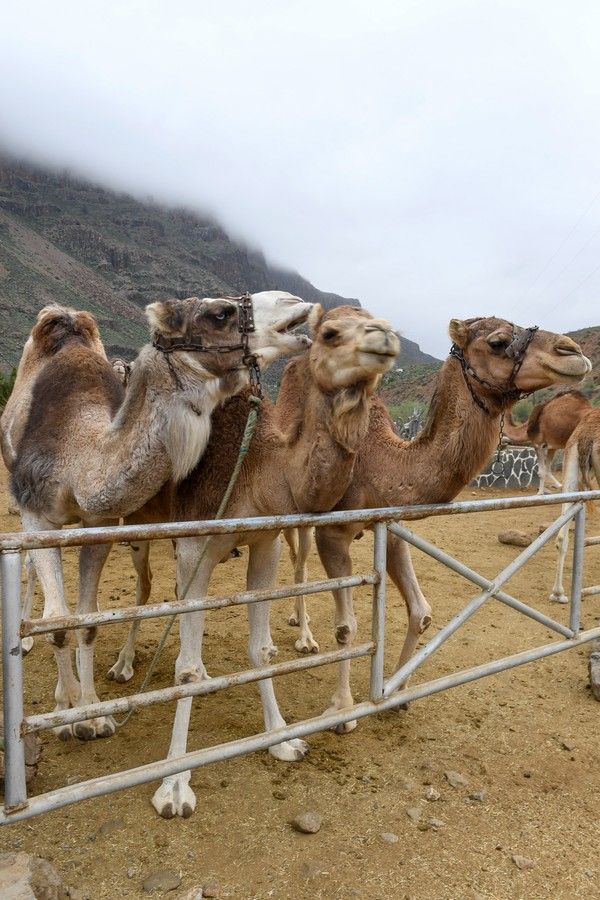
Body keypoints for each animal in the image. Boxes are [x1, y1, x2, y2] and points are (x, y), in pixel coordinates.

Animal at [9, 292, 312, 740]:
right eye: (219, 313)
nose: (294, 302)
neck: (77, 458)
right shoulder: (36, 511)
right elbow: (61, 623)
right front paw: (66, 713)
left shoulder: (99, 522)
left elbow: (88, 621)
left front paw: (92, 713)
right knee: (38, 573)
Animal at [144, 306, 398, 820]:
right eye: (330, 332)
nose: (384, 336)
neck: (256, 469)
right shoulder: (193, 545)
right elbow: (184, 668)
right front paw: (175, 785)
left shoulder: (267, 542)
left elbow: (260, 650)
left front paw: (282, 740)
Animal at [282, 312, 592, 728]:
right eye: (497, 342)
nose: (572, 352)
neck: (380, 463)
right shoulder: (332, 533)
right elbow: (347, 629)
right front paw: (342, 711)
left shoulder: (391, 526)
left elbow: (421, 612)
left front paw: (396, 694)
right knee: (296, 562)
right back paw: (303, 637)